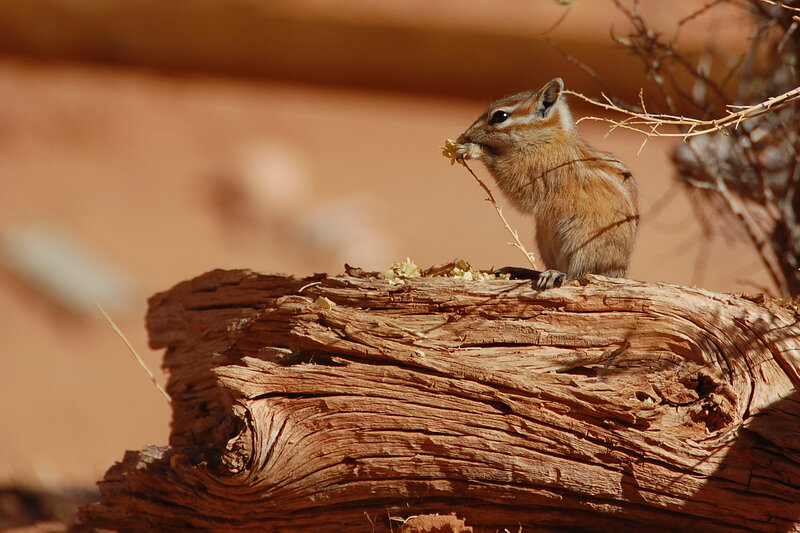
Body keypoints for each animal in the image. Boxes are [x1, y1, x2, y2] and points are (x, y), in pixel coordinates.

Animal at [455, 78, 639, 289]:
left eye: (500, 116)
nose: (467, 134)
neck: (548, 138)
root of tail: (618, 273)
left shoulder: (536, 171)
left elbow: (514, 183)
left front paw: (473, 149)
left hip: (582, 244)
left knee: (578, 275)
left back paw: (555, 274)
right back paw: (521, 270)